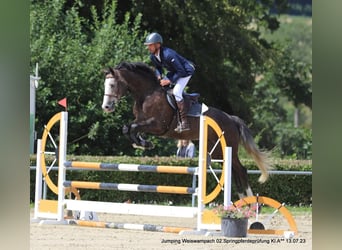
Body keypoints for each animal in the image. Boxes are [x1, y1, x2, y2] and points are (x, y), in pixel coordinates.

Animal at [100, 61, 272, 198]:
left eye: (112, 85)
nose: (106, 107)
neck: (147, 94)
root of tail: (231, 119)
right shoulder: (142, 121)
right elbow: (128, 128)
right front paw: (142, 143)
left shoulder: (157, 125)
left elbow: (133, 127)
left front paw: (144, 143)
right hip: (217, 150)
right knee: (232, 170)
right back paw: (241, 201)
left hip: (228, 146)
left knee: (241, 170)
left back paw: (249, 203)